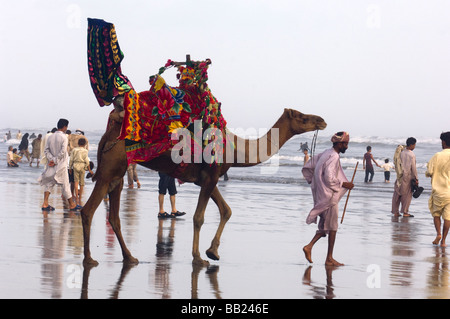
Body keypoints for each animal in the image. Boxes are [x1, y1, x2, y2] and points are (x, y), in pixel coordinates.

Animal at [81, 107, 326, 268]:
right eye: (303, 118)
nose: (322, 120)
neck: (235, 148)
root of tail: (108, 135)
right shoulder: (210, 177)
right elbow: (199, 217)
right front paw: (199, 258)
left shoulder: (209, 178)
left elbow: (226, 210)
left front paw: (213, 252)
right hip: (111, 168)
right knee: (88, 210)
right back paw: (89, 259)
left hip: (118, 173)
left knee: (114, 216)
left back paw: (129, 257)